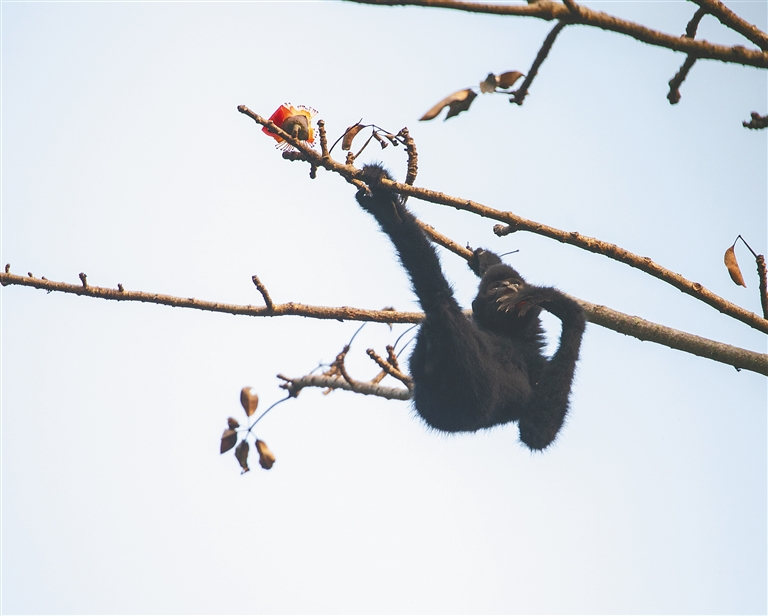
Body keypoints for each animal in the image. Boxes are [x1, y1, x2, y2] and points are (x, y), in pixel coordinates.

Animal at [355, 164, 586, 450]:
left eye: (514, 284)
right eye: (495, 287)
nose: (508, 288)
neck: (507, 334)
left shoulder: (538, 361)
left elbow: (537, 433)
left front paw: (560, 304)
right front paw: (486, 261)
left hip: (473, 382)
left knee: (439, 300)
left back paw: (391, 212)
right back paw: (389, 209)